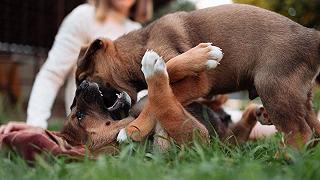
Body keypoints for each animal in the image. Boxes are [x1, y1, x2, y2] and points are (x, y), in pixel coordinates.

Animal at [76, 4, 320, 148]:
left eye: (82, 77)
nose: (79, 91)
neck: (143, 41)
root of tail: (311, 36)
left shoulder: (198, 81)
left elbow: (166, 75)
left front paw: (132, 129)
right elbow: (157, 94)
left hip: (271, 86)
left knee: (300, 131)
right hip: (296, 95)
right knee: (313, 127)